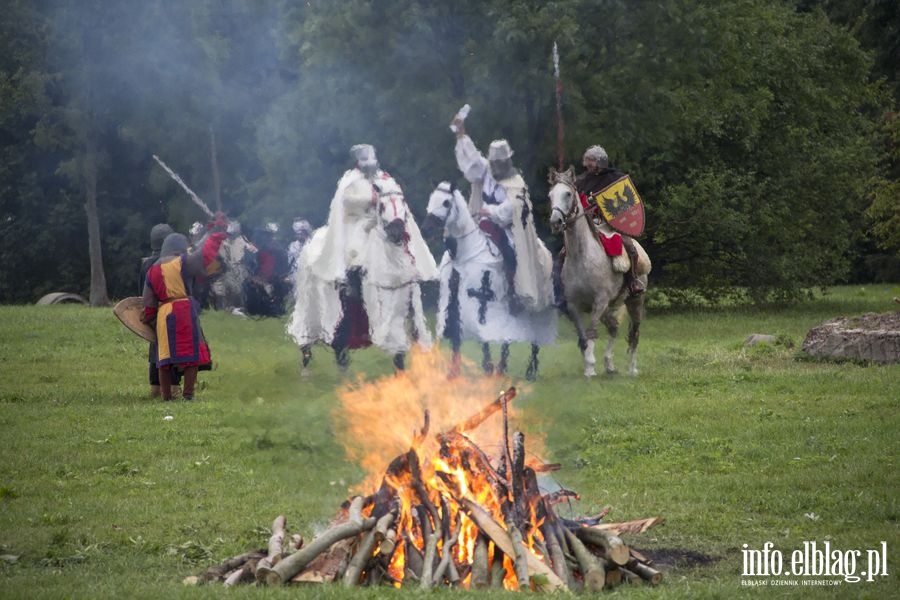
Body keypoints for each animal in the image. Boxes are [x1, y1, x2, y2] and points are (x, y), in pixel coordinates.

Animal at [422, 182, 556, 380]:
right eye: (432, 199)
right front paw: (455, 373)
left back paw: (526, 370)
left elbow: (483, 334)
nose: (425, 229)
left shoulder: (481, 300)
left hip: (537, 308)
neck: (466, 253)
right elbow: (457, 334)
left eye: (446, 202)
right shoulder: (454, 299)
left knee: (533, 335)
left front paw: (488, 367)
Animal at [548, 166, 648, 378]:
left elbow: (592, 332)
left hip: (635, 299)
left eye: (568, 194)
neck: (582, 257)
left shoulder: (599, 301)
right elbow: (583, 336)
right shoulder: (574, 305)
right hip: (610, 305)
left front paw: (590, 368)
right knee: (614, 327)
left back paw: (632, 368)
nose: (555, 221)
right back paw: (609, 364)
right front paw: (589, 364)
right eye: (550, 195)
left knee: (634, 332)